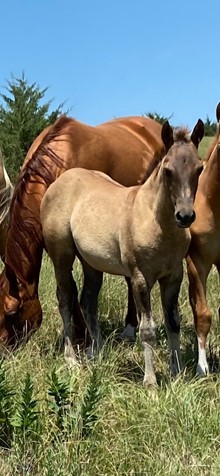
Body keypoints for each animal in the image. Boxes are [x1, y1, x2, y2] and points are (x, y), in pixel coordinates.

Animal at [0, 113, 163, 346]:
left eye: (12, 312)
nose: (3, 347)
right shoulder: (55, 244)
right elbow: (69, 288)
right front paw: (81, 335)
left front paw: (83, 336)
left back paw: (130, 327)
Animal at [40, 120, 203, 386]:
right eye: (167, 170)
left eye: (199, 169)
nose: (185, 216)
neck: (156, 222)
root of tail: (61, 180)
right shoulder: (140, 278)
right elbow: (147, 330)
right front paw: (150, 382)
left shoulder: (173, 277)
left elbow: (173, 323)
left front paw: (176, 373)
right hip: (61, 256)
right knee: (64, 299)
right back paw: (72, 360)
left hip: (91, 263)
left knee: (88, 301)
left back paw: (95, 353)